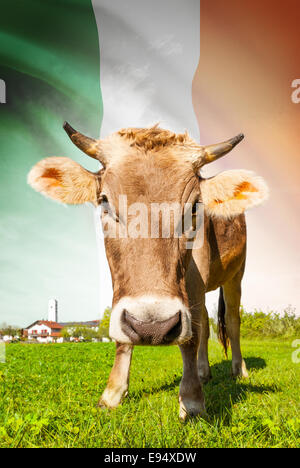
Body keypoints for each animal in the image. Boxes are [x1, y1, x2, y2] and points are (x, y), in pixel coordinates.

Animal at [27, 122, 268, 418]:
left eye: (195, 206)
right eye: (104, 202)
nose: (152, 327)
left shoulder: (196, 275)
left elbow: (191, 335)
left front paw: (192, 400)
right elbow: (125, 334)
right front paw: (112, 393)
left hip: (236, 274)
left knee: (232, 321)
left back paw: (239, 370)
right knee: (206, 322)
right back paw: (203, 372)